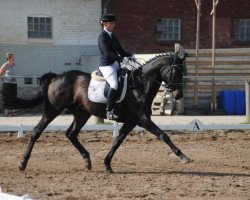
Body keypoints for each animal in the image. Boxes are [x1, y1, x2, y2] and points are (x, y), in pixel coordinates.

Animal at [16, 52, 190, 173]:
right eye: (176, 73)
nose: (178, 95)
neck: (140, 86)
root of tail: (57, 77)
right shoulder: (143, 119)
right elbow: (163, 135)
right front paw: (183, 156)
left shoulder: (131, 121)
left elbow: (117, 141)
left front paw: (107, 165)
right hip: (53, 110)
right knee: (37, 131)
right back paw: (22, 163)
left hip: (82, 114)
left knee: (71, 134)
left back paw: (87, 161)